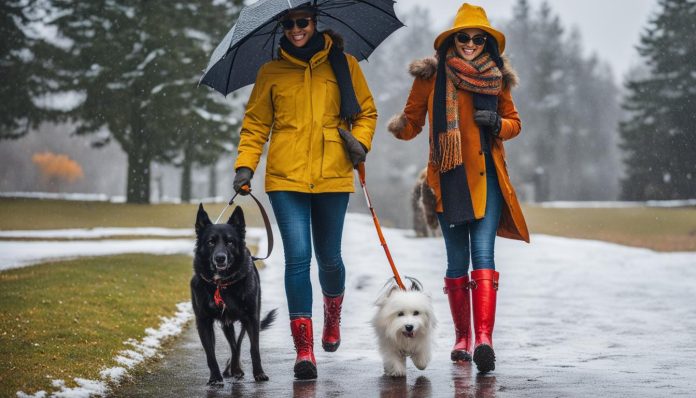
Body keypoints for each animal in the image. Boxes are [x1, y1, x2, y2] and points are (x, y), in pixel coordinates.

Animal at [192, 204, 278, 384]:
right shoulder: (203, 322)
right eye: (211, 242)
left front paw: (259, 373)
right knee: (233, 344)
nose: (220, 258)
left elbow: (254, 349)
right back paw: (232, 369)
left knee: (237, 344)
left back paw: (235, 369)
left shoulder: (252, 317)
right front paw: (215, 377)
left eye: (230, 242)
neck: (221, 284)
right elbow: (210, 354)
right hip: (227, 323)